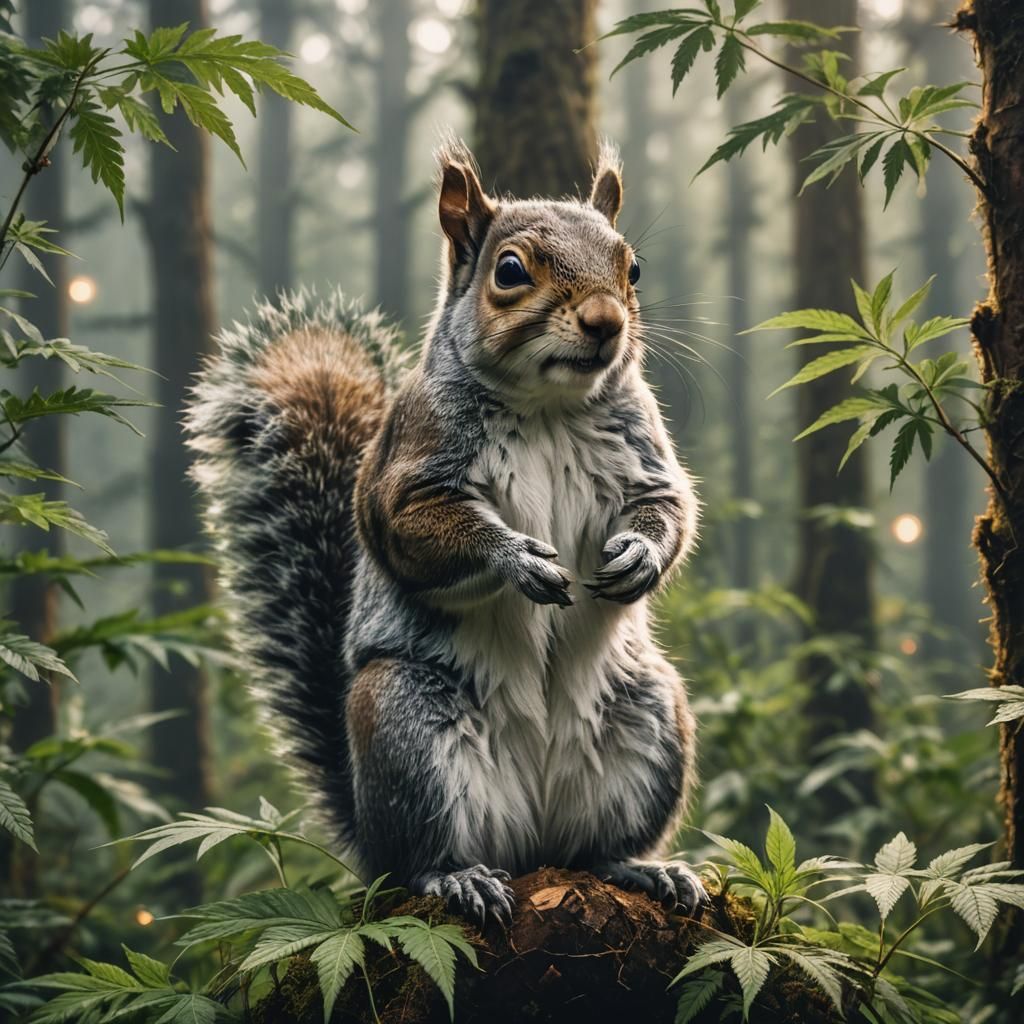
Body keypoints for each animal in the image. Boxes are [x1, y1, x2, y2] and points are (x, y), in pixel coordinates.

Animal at [186, 138, 704, 926]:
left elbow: (668, 508)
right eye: (510, 271)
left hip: (651, 718)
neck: (550, 406)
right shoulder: (408, 471)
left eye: (632, 267)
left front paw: (639, 555)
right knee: (418, 857)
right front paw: (519, 559)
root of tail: (531, 840)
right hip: (406, 727)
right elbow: (416, 529)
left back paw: (643, 868)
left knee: (594, 849)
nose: (606, 322)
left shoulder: (645, 456)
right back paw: (455, 879)